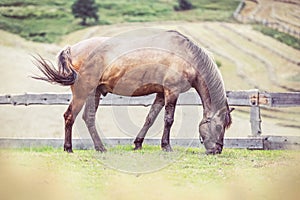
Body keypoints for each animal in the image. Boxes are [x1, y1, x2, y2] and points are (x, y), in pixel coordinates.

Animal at [33, 29, 234, 155]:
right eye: (219, 126)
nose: (217, 150)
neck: (186, 56)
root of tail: (71, 49)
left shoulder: (161, 94)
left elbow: (150, 118)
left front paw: (138, 144)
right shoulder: (172, 91)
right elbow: (168, 120)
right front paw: (166, 146)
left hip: (93, 93)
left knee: (88, 118)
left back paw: (100, 148)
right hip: (82, 92)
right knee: (70, 116)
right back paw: (69, 148)